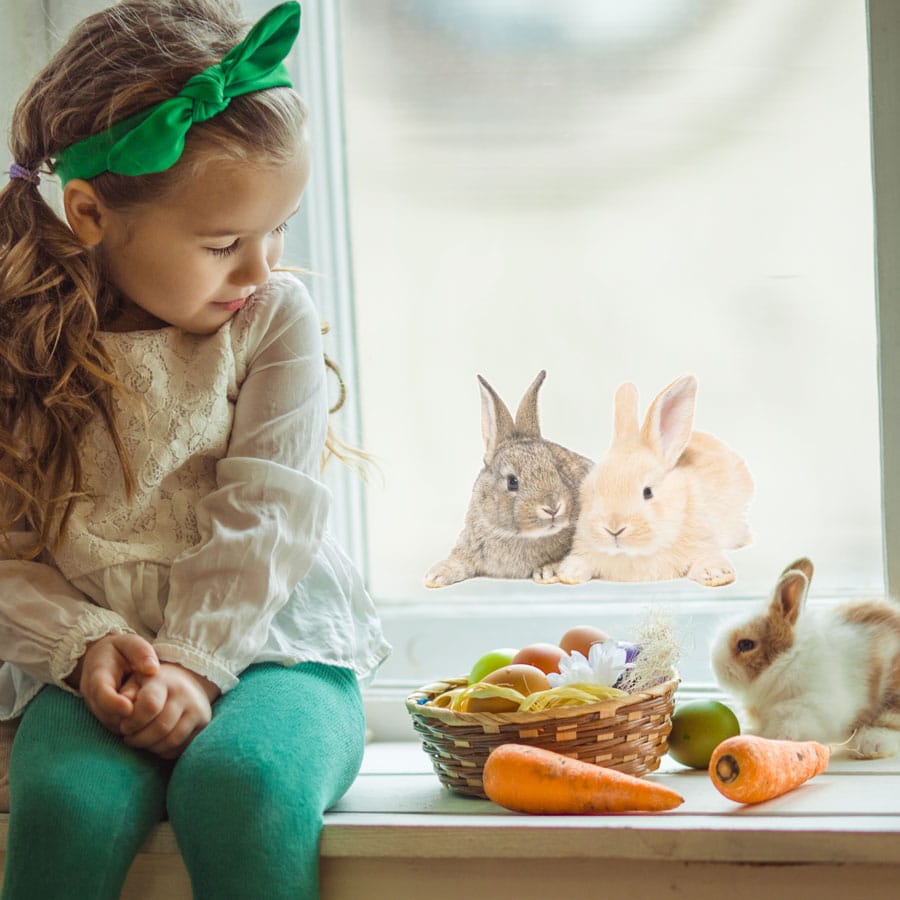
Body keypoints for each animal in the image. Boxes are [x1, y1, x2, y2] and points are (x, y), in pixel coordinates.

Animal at [556, 376, 752, 588]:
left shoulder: (704, 538)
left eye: (648, 492)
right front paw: (569, 572)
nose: (613, 529)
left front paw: (716, 574)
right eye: (593, 491)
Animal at [712, 560, 900, 756]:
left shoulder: (812, 705)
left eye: (746, 644)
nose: (716, 665)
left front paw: (775, 739)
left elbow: (788, 723)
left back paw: (872, 743)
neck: (789, 661)